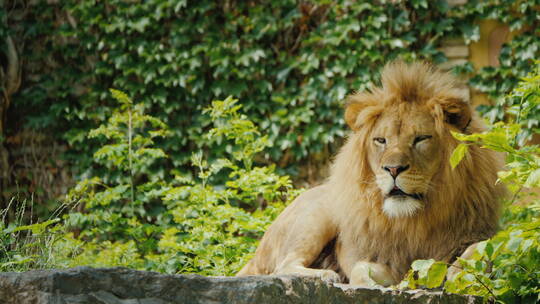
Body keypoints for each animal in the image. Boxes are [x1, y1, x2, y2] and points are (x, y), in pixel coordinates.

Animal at [236, 61, 506, 284]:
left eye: (421, 139)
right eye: (381, 140)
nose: (393, 169)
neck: (415, 220)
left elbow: (483, 245)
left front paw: (459, 273)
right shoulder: (381, 258)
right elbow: (360, 270)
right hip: (318, 215)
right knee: (282, 266)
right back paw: (326, 274)